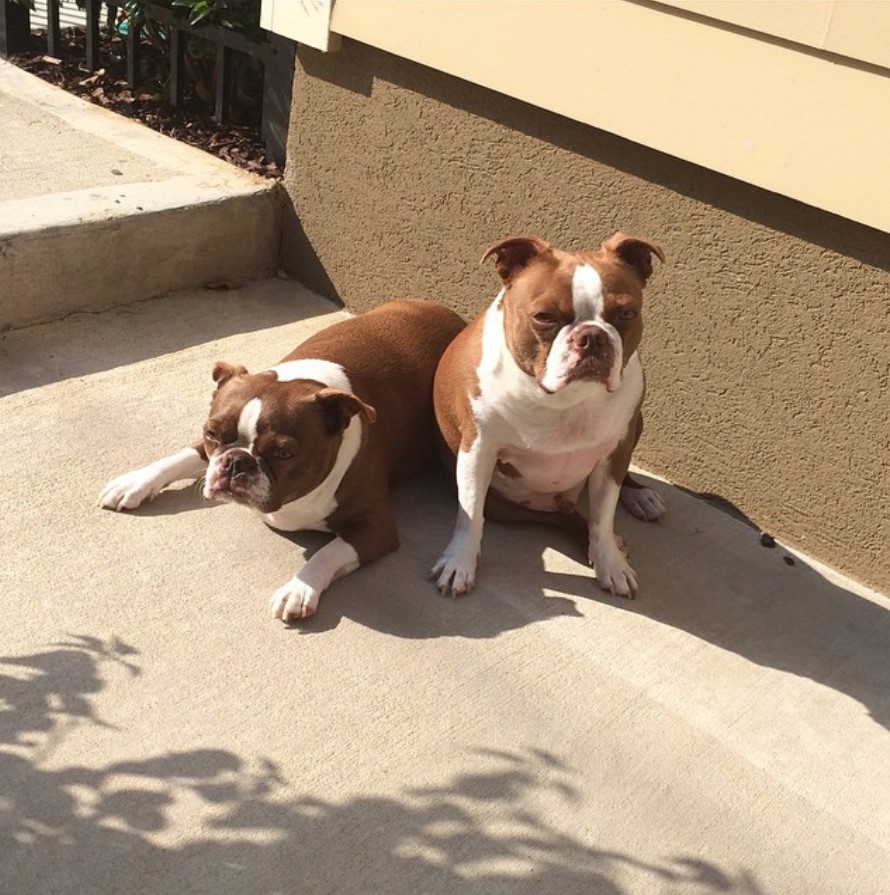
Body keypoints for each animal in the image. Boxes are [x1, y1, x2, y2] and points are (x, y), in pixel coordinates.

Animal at [99, 300, 464, 624]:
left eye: (282, 452)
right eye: (211, 433)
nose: (236, 463)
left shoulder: (376, 527)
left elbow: (328, 551)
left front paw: (298, 589)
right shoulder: (206, 449)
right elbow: (180, 456)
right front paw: (134, 482)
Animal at [430, 234, 664, 600]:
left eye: (626, 313)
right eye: (544, 317)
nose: (593, 336)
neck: (564, 399)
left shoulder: (615, 452)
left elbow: (603, 518)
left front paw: (610, 562)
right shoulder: (477, 451)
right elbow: (469, 516)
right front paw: (459, 564)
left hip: (634, 429)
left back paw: (637, 497)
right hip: (508, 507)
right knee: (555, 517)